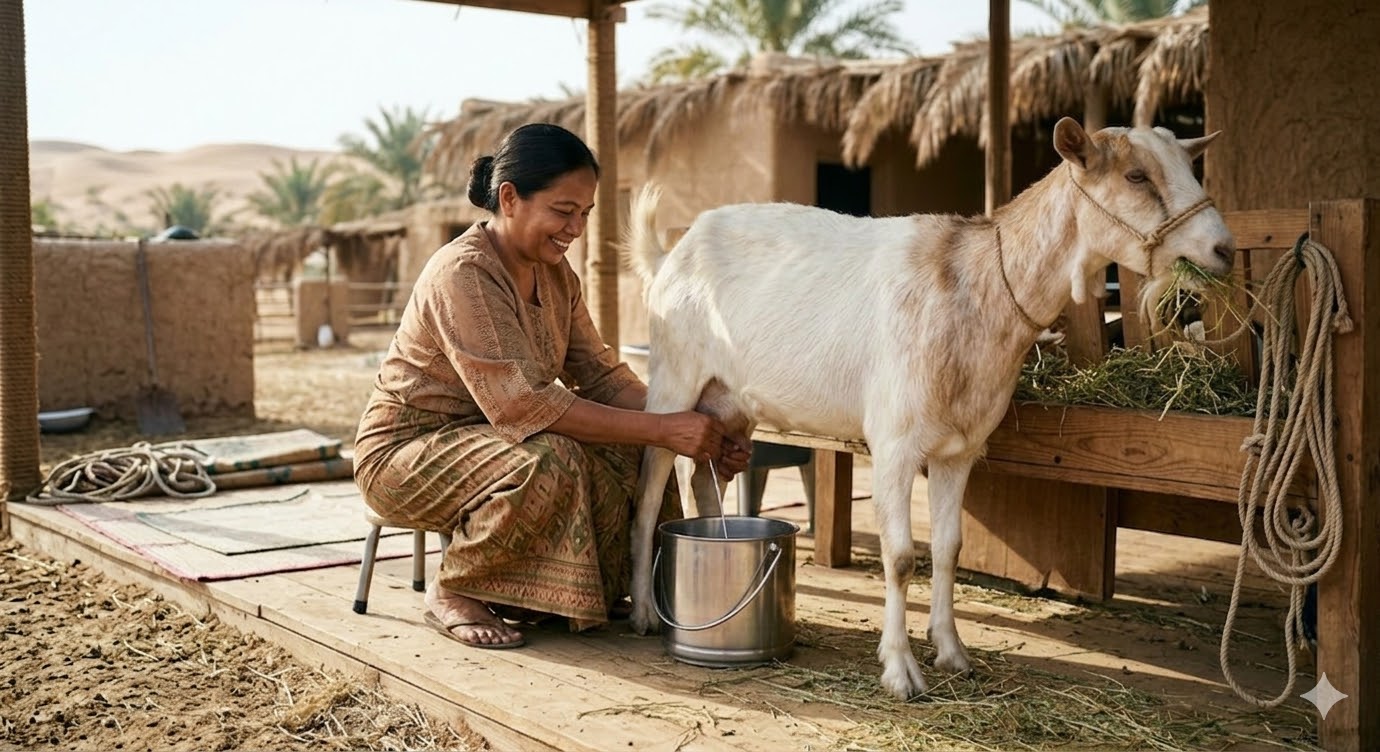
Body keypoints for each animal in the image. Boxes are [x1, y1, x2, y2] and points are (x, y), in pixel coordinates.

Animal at [623, 118, 1235, 699]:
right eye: (1136, 175)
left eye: (1189, 166)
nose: (1223, 248)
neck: (975, 288)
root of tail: (671, 253)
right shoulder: (894, 444)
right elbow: (899, 557)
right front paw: (900, 670)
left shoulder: (960, 449)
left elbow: (948, 549)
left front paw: (953, 652)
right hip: (673, 379)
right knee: (651, 489)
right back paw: (645, 612)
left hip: (728, 404)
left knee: (701, 480)